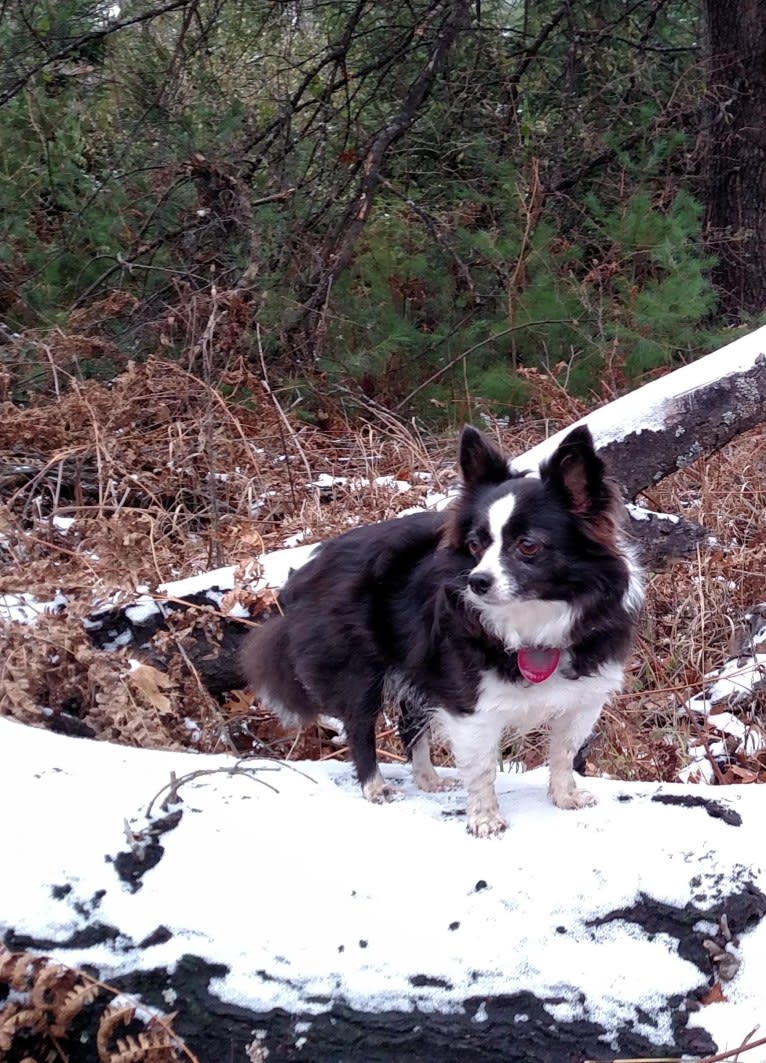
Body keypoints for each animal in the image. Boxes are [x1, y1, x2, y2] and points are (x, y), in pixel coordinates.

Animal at [239, 427, 637, 833]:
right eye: (475, 545)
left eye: (528, 546)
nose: (477, 582)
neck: (533, 618)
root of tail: (306, 568)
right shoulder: (472, 705)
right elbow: (482, 767)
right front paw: (485, 818)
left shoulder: (584, 697)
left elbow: (563, 752)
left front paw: (564, 796)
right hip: (359, 672)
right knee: (359, 726)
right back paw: (375, 787)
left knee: (410, 723)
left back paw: (427, 778)